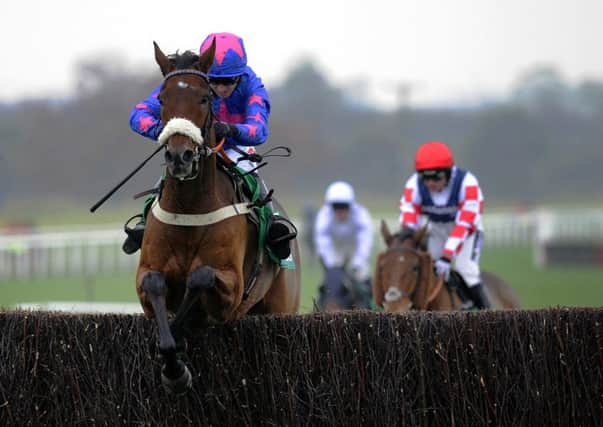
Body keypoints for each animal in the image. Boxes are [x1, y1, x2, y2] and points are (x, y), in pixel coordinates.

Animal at [134, 41, 300, 392]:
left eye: (204, 98)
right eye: (161, 98)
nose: (180, 156)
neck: (189, 208)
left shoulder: (232, 290)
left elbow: (201, 277)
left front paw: (178, 357)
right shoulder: (145, 276)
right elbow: (155, 284)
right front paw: (173, 361)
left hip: (280, 305)